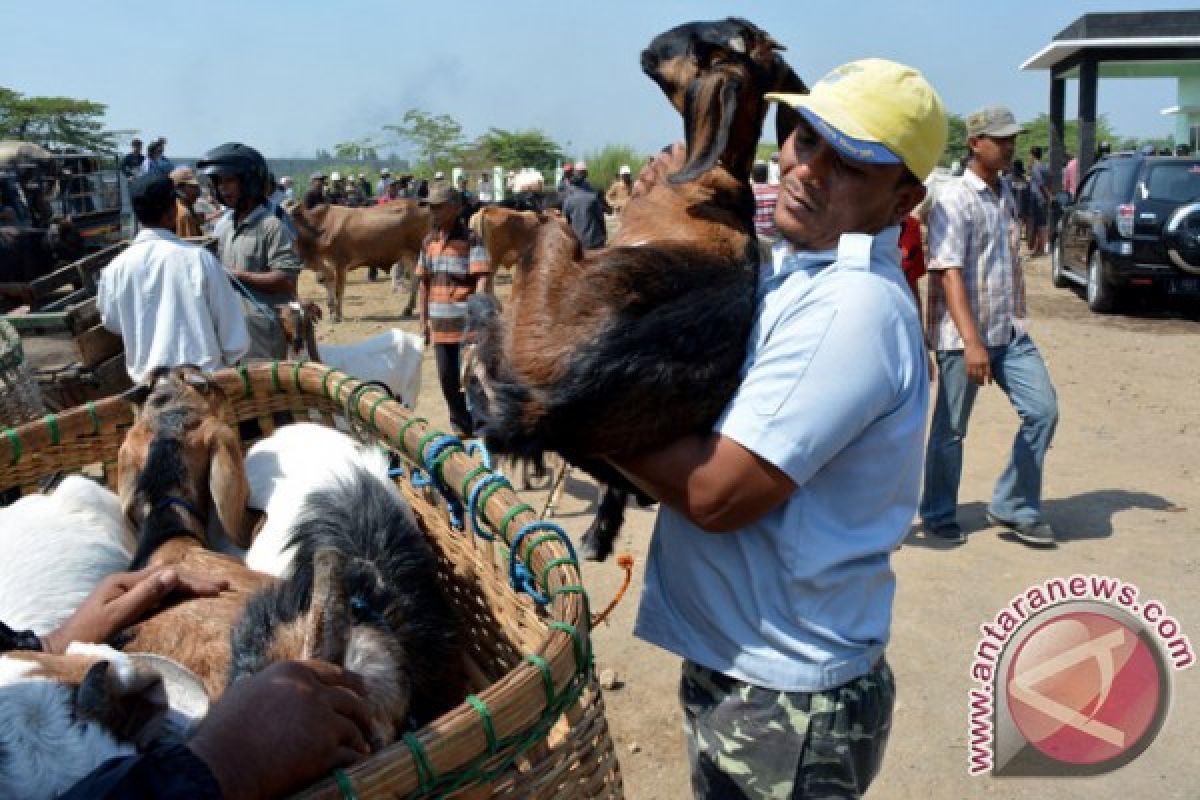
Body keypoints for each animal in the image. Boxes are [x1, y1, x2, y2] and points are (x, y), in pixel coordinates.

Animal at [288, 199, 429, 321]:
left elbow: (339, 290)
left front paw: (337, 315)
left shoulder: (340, 263)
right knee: (415, 277)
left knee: (418, 278)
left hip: (417, 251)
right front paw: (332, 311)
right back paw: (408, 309)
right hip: (408, 254)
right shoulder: (323, 265)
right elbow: (328, 282)